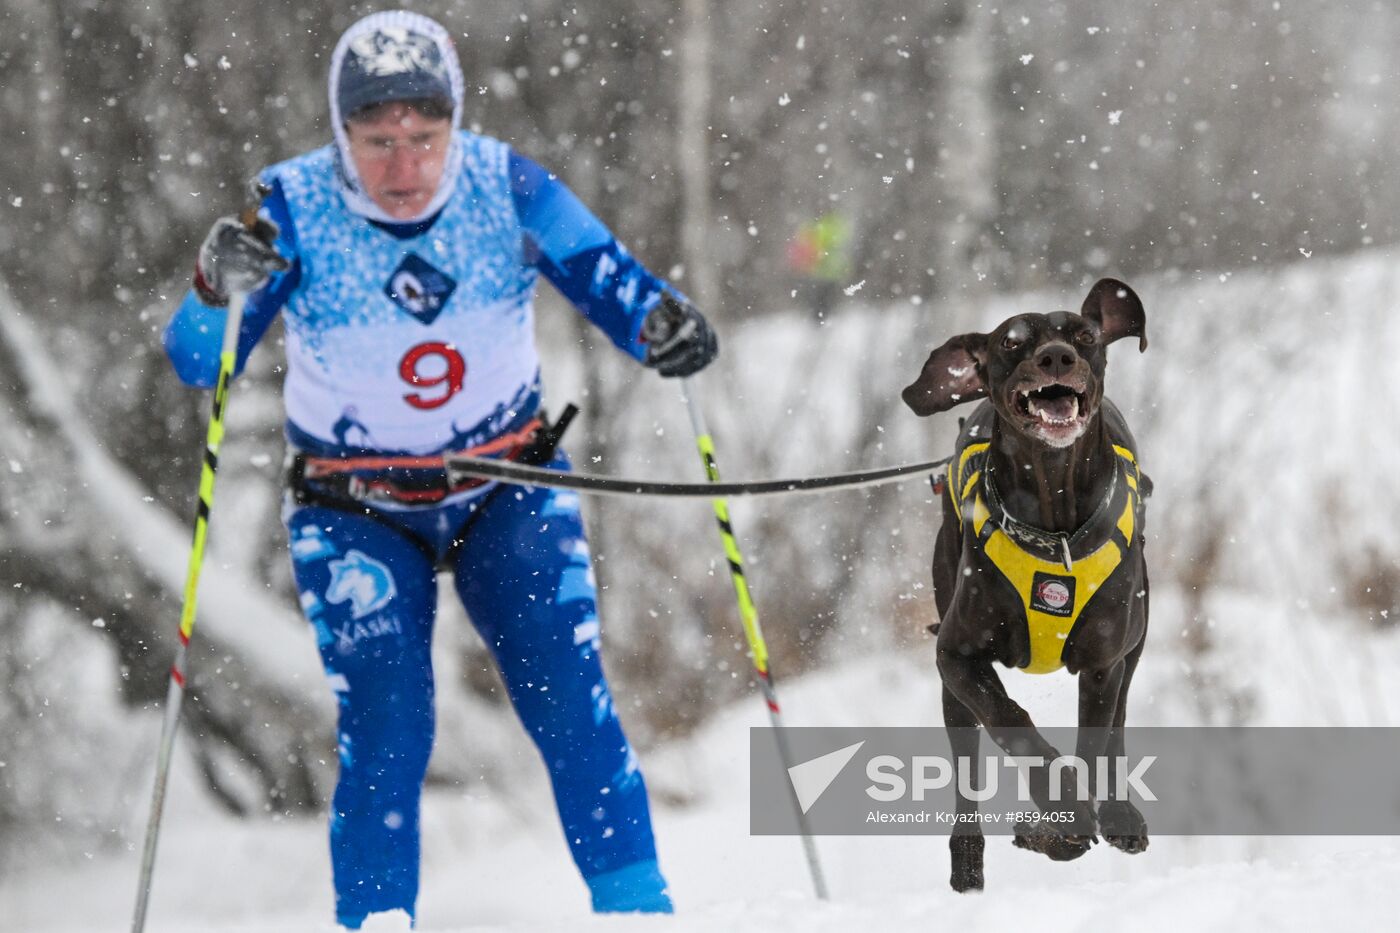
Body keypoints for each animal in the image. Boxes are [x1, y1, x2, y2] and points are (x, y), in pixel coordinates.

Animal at [907, 275, 1148, 885]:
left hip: (1136, 640)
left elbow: (1096, 742)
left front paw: (1064, 822)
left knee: (1119, 725)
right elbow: (1010, 720)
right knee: (966, 768)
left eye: (1085, 335)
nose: (1056, 357)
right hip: (950, 682)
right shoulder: (956, 655)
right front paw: (1056, 813)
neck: (1053, 519)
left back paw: (1119, 815)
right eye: (1010, 343)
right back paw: (968, 861)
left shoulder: (1105, 662)